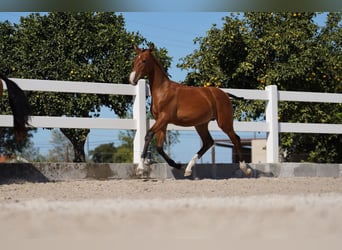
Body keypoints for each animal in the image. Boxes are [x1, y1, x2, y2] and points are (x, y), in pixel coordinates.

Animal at [129, 45, 251, 178]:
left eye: (144, 61)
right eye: (134, 60)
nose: (132, 79)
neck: (163, 91)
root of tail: (225, 94)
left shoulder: (164, 118)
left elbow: (149, 134)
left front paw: (140, 169)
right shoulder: (162, 122)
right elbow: (159, 147)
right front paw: (177, 165)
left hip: (224, 123)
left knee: (236, 139)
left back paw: (245, 169)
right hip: (201, 124)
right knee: (208, 142)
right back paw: (187, 169)